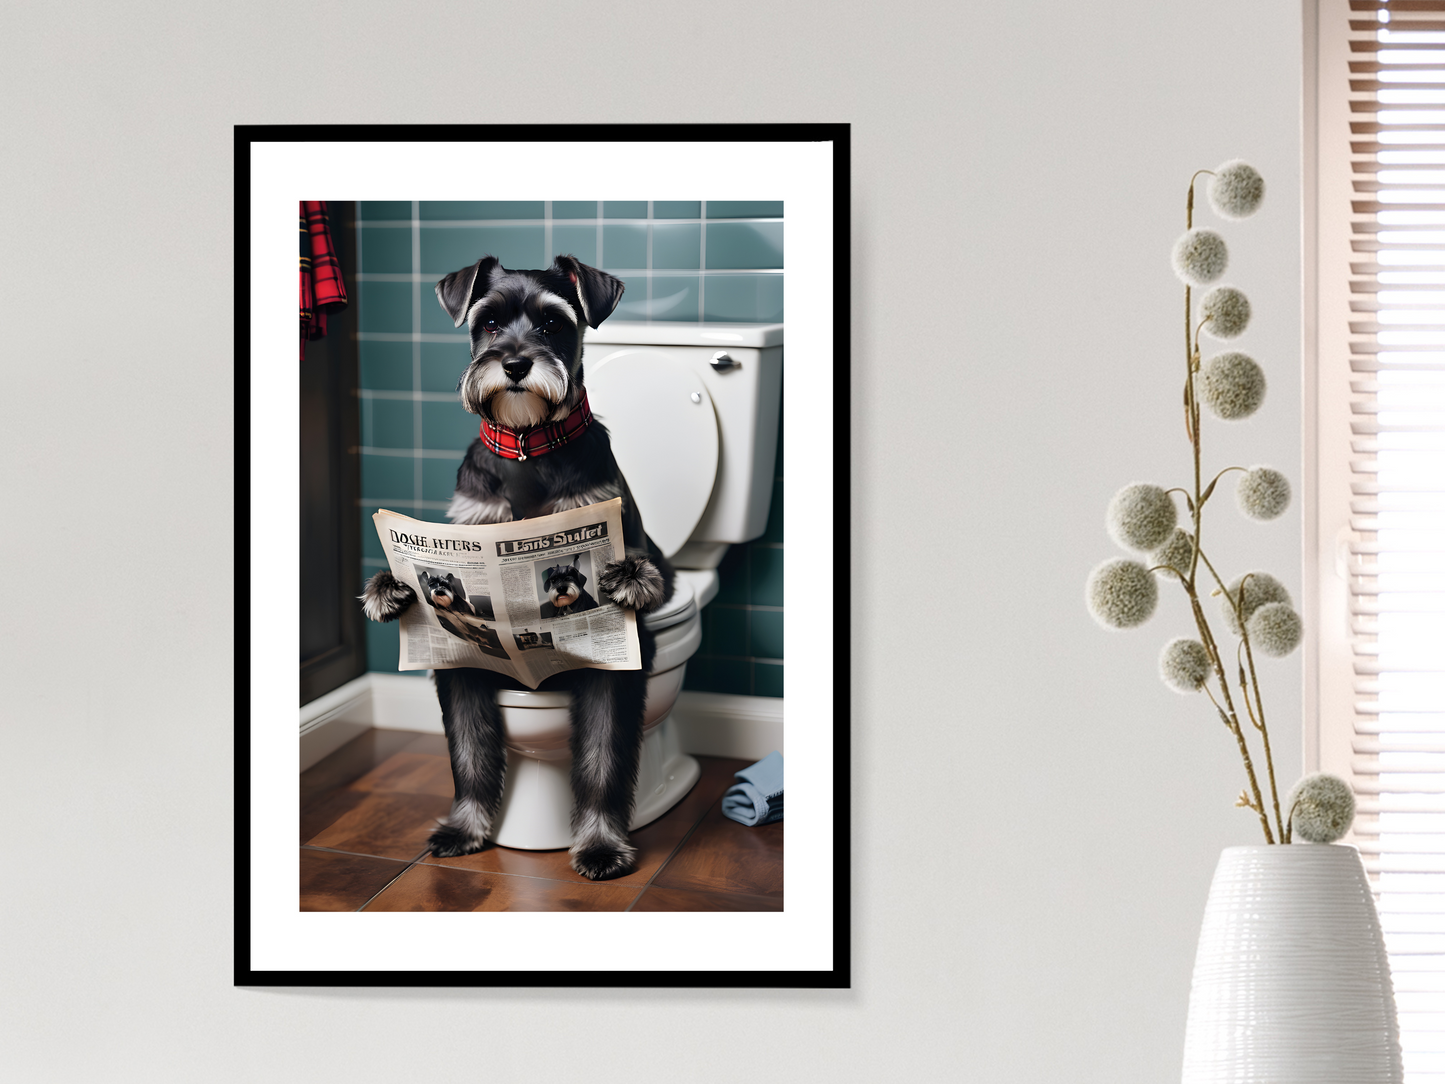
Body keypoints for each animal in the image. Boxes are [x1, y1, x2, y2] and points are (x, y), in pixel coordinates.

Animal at [361, 254, 676, 884]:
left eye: (553, 323)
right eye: (487, 321)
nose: (513, 363)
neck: (530, 445)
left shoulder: (619, 661)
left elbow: (604, 757)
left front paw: (600, 845)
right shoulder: (460, 655)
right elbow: (469, 749)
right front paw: (466, 827)